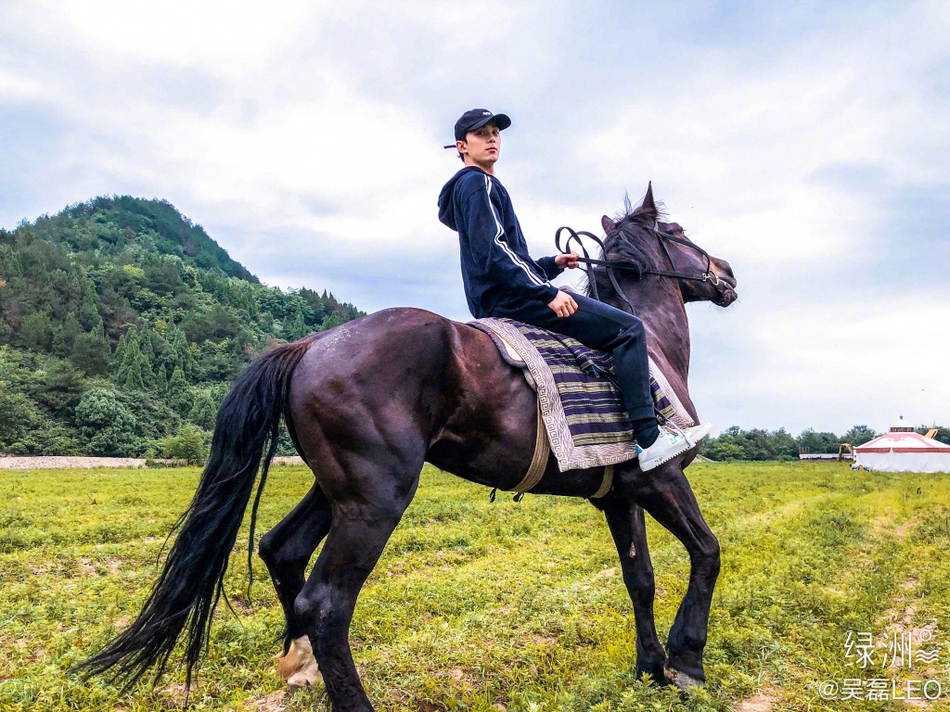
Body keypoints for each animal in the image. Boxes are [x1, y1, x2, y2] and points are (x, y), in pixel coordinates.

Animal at [78, 186, 740, 708]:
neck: (649, 345)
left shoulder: (619, 494)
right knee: (326, 603)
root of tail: (310, 344)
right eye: (677, 233)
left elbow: (641, 578)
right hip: (378, 498)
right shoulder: (660, 479)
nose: (727, 271)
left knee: (281, 550)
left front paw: (650, 670)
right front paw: (686, 663)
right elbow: (707, 552)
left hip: (341, 489)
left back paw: (301, 666)